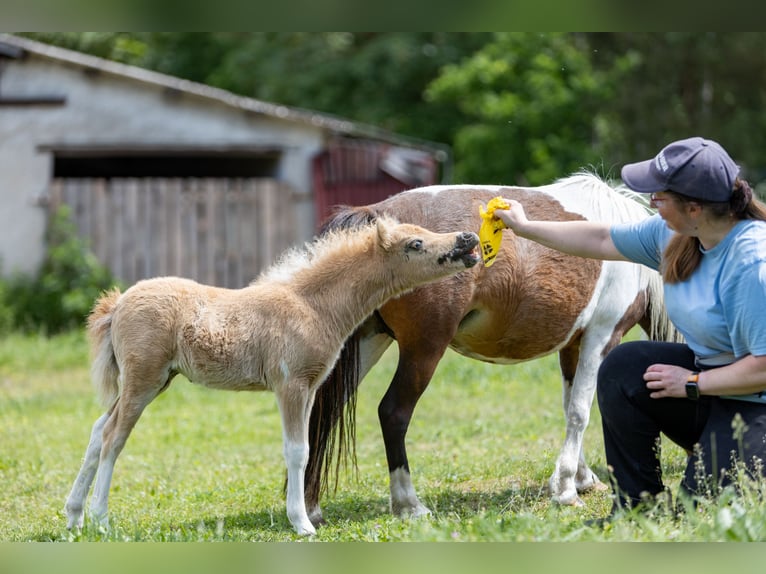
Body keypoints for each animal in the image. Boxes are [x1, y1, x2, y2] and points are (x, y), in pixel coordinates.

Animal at [64, 216, 480, 536]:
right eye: (415, 243)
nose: (467, 239)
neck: (312, 305)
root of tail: (118, 304)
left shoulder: (310, 386)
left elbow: (306, 447)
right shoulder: (290, 385)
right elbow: (295, 451)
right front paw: (302, 524)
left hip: (153, 381)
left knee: (97, 429)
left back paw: (74, 516)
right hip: (143, 379)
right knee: (113, 437)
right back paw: (100, 518)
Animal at [304, 172, 679, 525]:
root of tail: (375, 215)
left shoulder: (573, 344)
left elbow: (569, 405)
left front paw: (582, 478)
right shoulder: (602, 336)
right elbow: (580, 412)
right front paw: (566, 489)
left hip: (367, 342)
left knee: (323, 412)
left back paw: (310, 508)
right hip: (423, 348)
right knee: (393, 413)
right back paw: (409, 504)